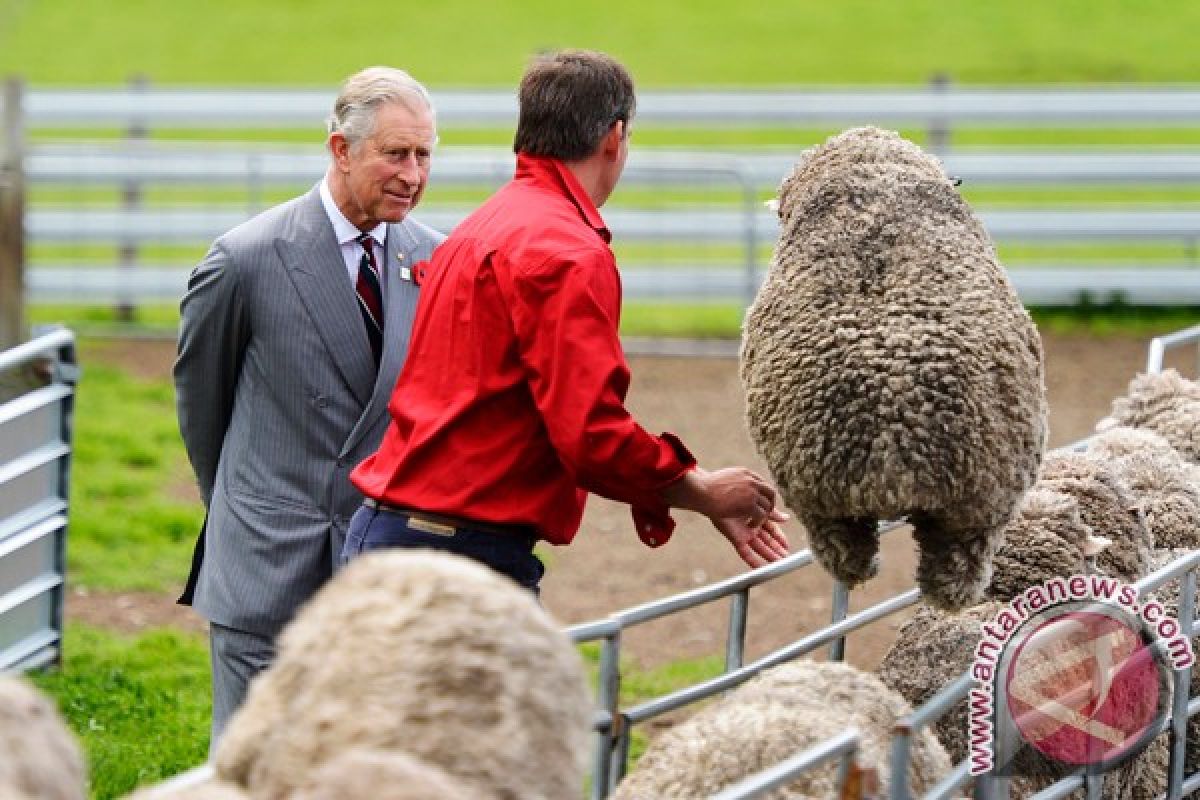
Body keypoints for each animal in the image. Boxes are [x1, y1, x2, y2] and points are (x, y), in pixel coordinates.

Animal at [744, 126, 1046, 614]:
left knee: (857, 558)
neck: (875, 174)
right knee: (946, 574)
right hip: (977, 504)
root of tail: (894, 445)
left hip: (829, 503)